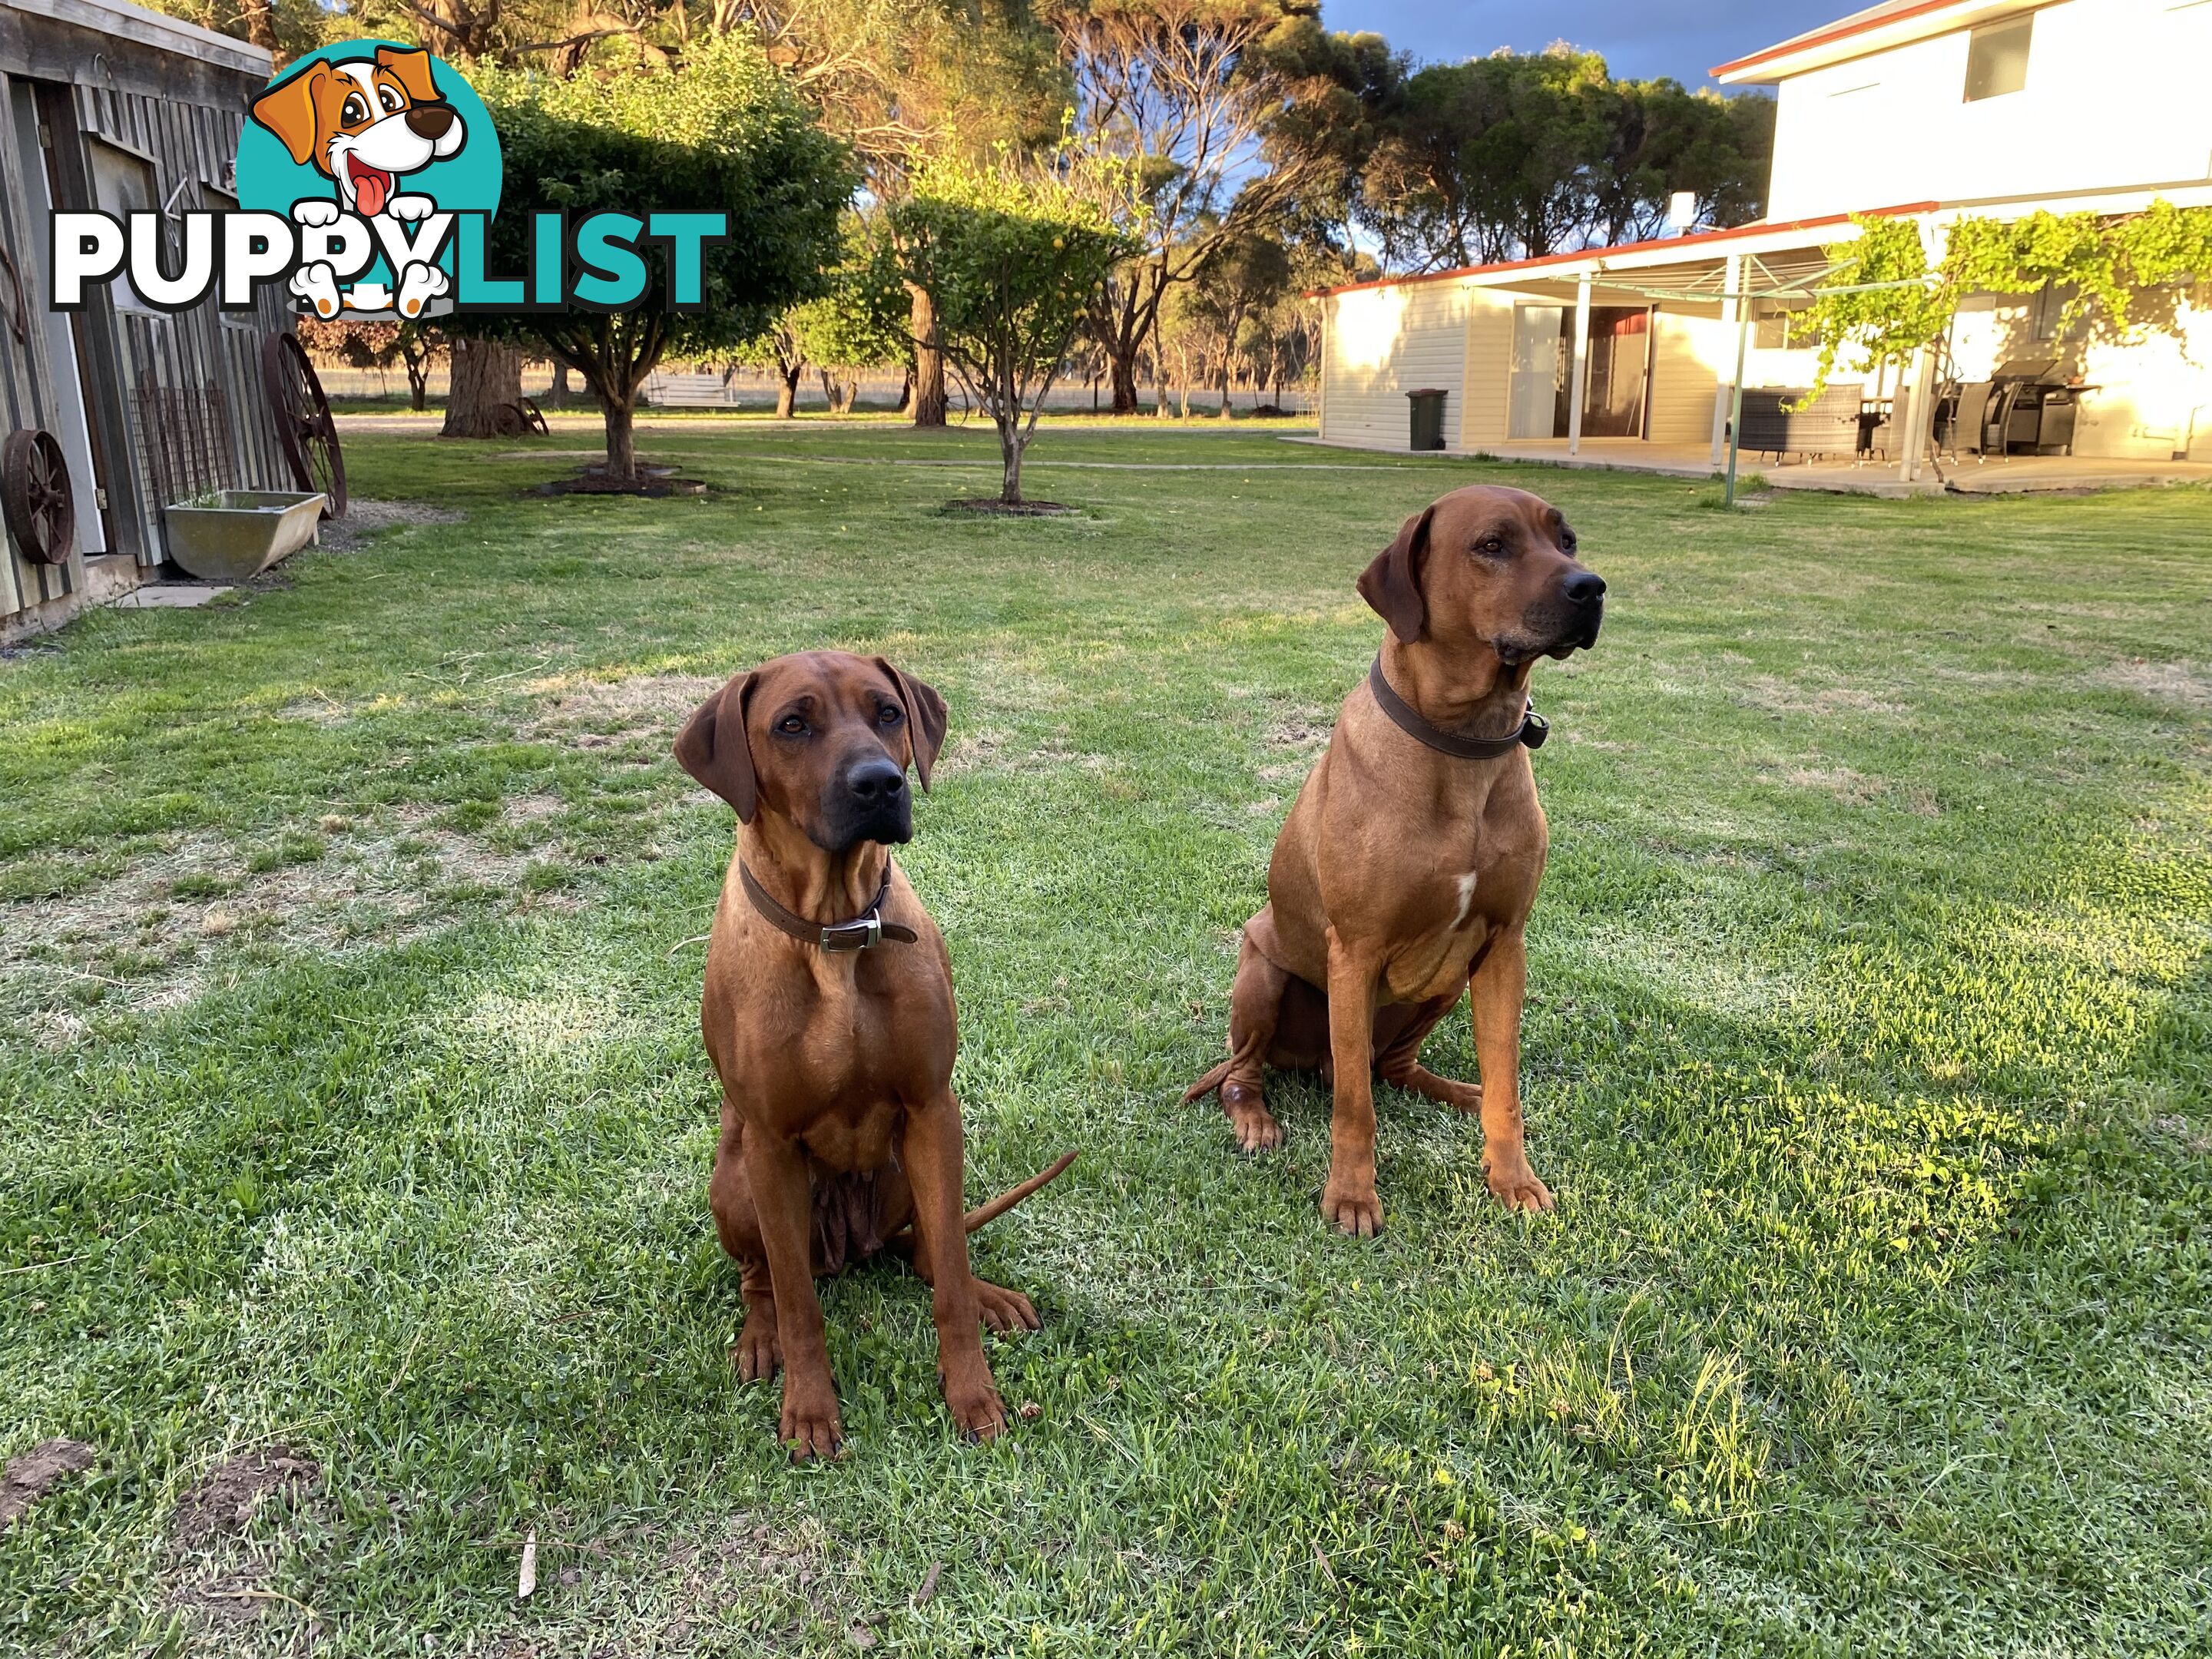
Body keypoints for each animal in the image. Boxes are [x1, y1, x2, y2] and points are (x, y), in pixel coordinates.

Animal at [681, 654, 1079, 1459]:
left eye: (888, 713)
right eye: (792, 724)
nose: (880, 783)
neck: (837, 925)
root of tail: (856, 1248)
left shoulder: (932, 1110)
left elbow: (949, 1277)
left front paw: (973, 1394)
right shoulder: (770, 1144)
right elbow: (800, 1304)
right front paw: (810, 1411)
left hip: (909, 1169)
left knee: (929, 1250)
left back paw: (987, 1296)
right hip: (736, 1178)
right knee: (762, 1278)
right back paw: (759, 1337)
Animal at [1194, 479, 1610, 1238]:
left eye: (1566, 541)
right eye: (1492, 545)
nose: (1590, 586)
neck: (1466, 741)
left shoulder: (1505, 945)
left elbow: (1506, 1085)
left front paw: (1513, 1178)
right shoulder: (1354, 951)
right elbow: (1354, 1108)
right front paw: (1352, 1196)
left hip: (1445, 983)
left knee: (1391, 1067)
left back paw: (1455, 1090)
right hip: (1263, 973)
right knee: (1254, 1072)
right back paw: (1257, 1120)